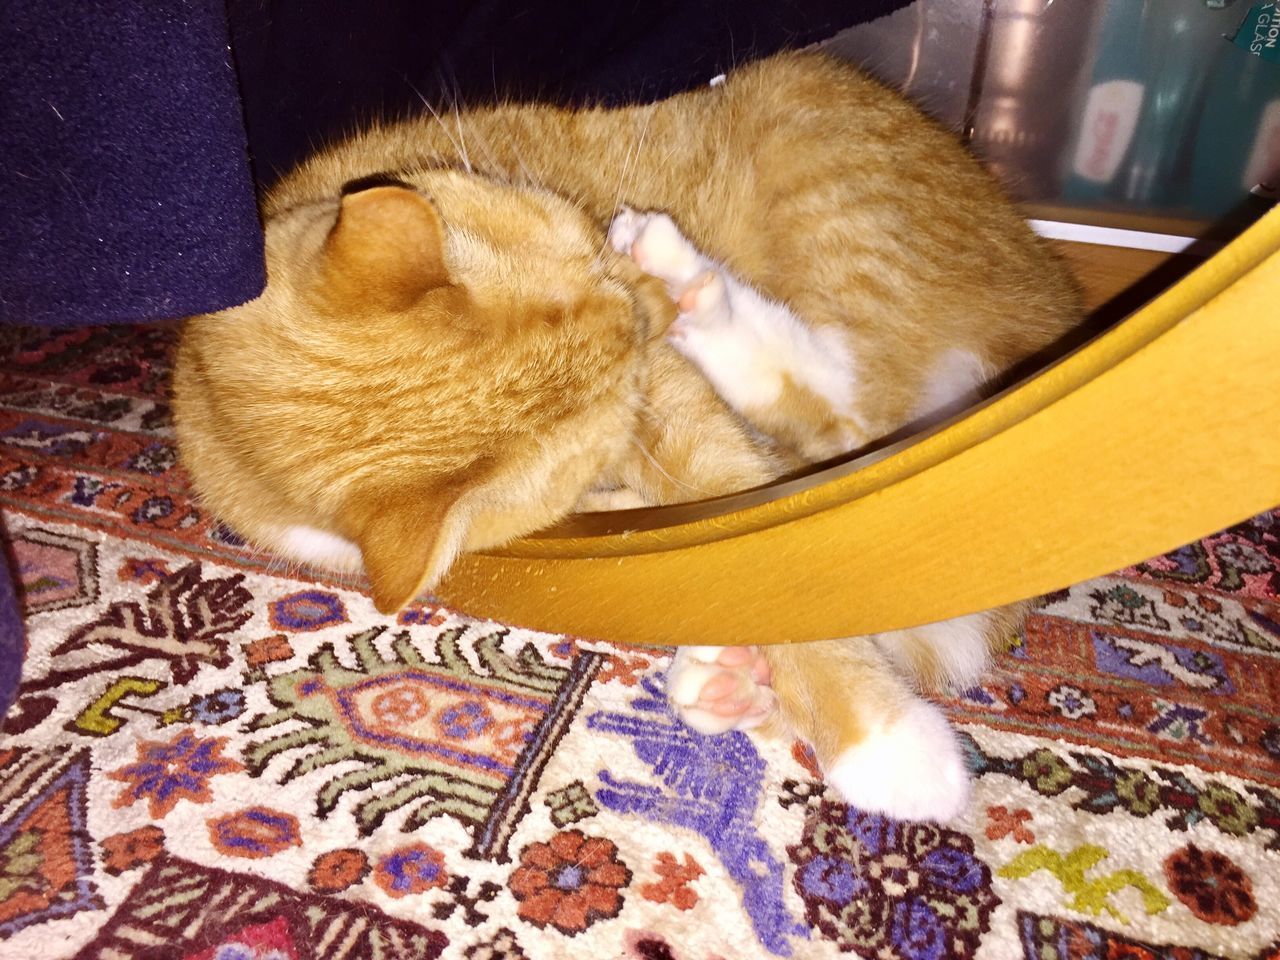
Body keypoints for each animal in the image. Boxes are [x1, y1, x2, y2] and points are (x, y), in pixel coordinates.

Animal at [172, 52, 1080, 824]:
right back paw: (727, 679)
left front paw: (885, 743)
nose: (649, 309)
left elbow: (766, 557)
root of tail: (1055, 287)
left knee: (851, 413)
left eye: (584, 247)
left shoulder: (674, 408)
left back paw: (697, 291)